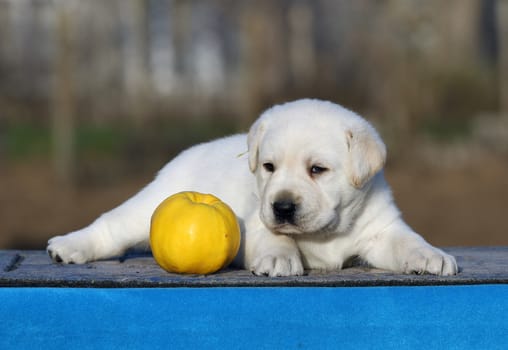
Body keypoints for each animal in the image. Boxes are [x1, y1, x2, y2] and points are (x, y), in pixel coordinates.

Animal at [48, 98, 460, 276]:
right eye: (269, 167)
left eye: (317, 170)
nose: (282, 206)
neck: (325, 233)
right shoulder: (254, 220)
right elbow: (274, 236)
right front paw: (280, 257)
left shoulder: (382, 230)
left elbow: (408, 241)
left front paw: (431, 256)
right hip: (147, 207)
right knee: (109, 226)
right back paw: (67, 246)